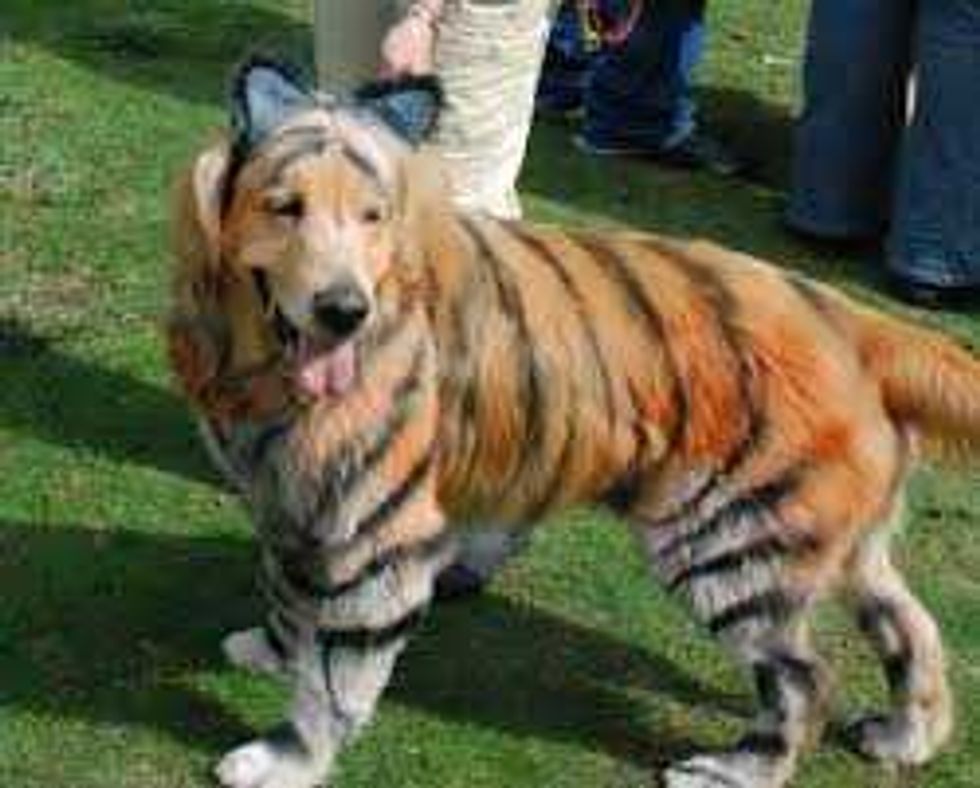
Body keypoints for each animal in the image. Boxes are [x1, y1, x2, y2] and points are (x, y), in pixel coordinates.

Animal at [166, 57, 980, 788]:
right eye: (286, 206)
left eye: (374, 216)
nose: (344, 312)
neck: (256, 360)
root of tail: (856, 322)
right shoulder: (291, 501)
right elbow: (290, 596)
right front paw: (274, 649)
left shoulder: (374, 530)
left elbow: (335, 676)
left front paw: (287, 761)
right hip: (825, 545)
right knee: (912, 626)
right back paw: (906, 737)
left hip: (727, 548)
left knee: (804, 677)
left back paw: (735, 771)